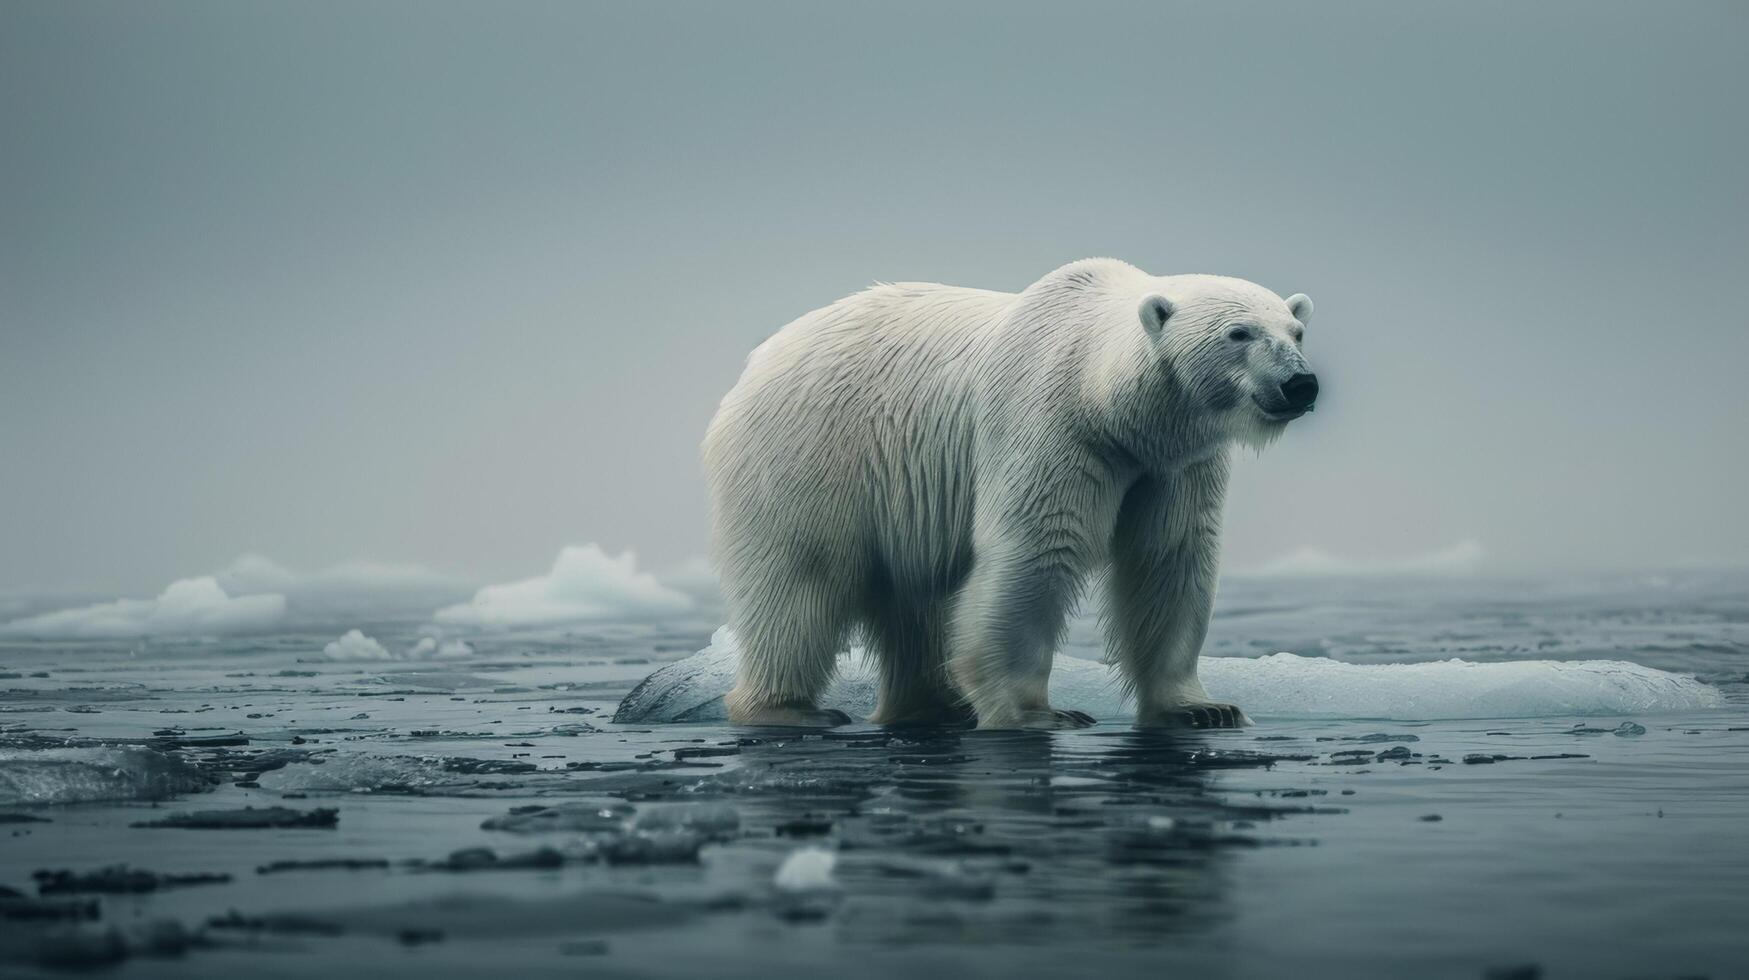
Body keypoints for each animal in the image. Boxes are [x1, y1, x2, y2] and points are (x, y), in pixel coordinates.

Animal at [696, 257, 1315, 731]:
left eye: (1296, 331)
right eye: (1239, 333)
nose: (1300, 384)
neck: (1108, 400)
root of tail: (757, 363)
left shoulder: (1174, 464)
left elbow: (1170, 557)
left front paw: (1204, 708)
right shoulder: (1050, 423)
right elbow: (1037, 551)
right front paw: (1038, 712)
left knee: (917, 600)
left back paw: (933, 704)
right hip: (813, 453)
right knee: (801, 582)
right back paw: (789, 708)